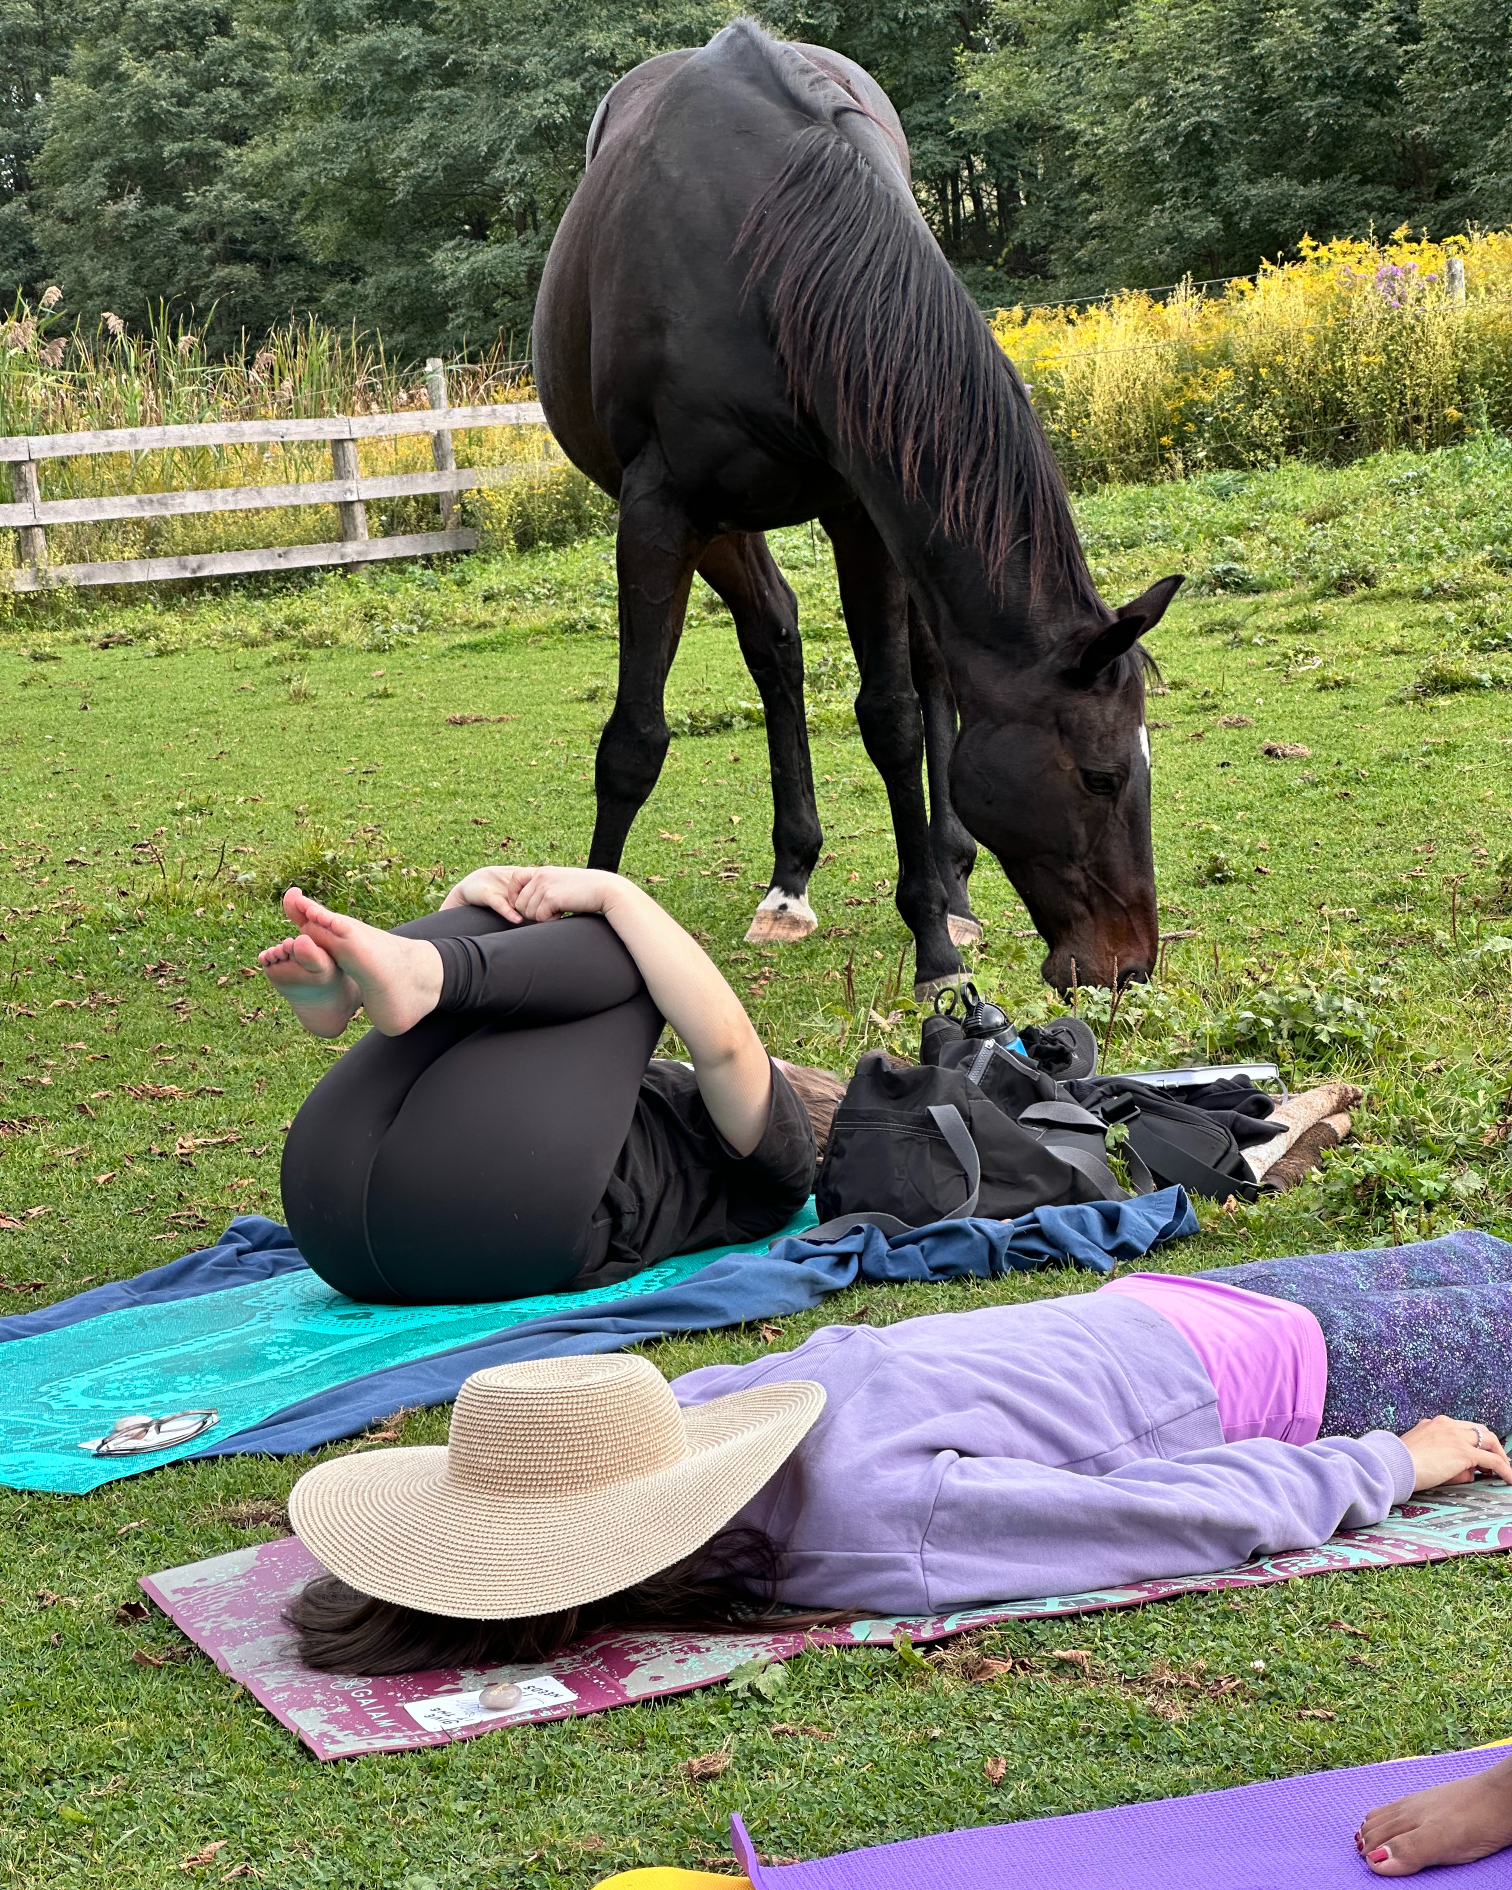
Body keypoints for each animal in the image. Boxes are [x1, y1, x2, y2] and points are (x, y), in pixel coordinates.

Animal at [532, 20, 1182, 994]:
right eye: (1101, 777)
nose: (1129, 964)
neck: (767, 251)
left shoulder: (866, 508)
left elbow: (892, 717)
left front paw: (936, 944)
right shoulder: (659, 511)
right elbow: (635, 739)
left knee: (921, 670)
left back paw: (950, 880)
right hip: (718, 523)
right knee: (775, 642)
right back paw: (790, 880)